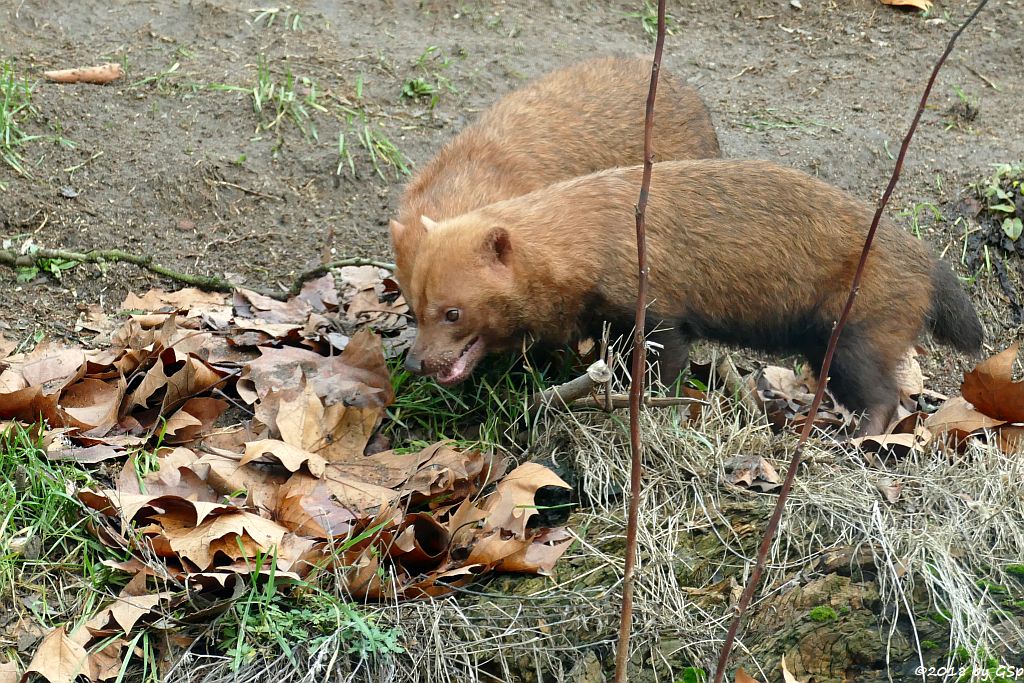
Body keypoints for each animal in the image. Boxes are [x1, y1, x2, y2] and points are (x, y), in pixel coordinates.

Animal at [399, 159, 983, 436]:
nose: (416, 362)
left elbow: (665, 369)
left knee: (887, 399)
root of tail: (926, 260)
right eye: (413, 304)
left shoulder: (659, 312)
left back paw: (856, 439)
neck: (593, 236)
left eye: (452, 312)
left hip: (856, 336)